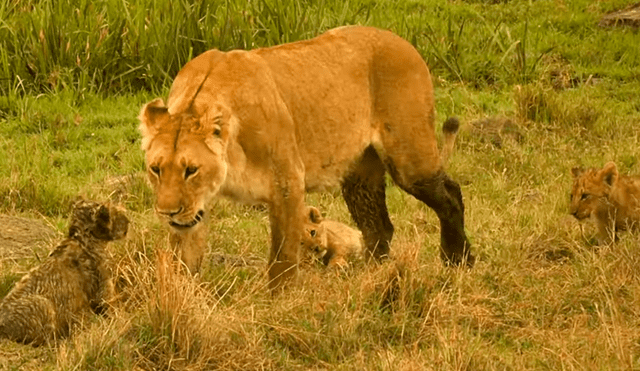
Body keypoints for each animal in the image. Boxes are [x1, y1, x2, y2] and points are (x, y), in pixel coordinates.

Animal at [138, 26, 472, 290]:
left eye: (191, 170)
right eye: (156, 169)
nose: (167, 213)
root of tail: (402, 41)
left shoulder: (287, 184)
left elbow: (282, 259)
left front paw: (277, 306)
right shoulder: (195, 211)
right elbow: (184, 258)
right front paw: (182, 298)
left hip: (409, 159)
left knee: (450, 195)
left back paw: (458, 260)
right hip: (359, 176)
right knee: (379, 226)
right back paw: (371, 276)